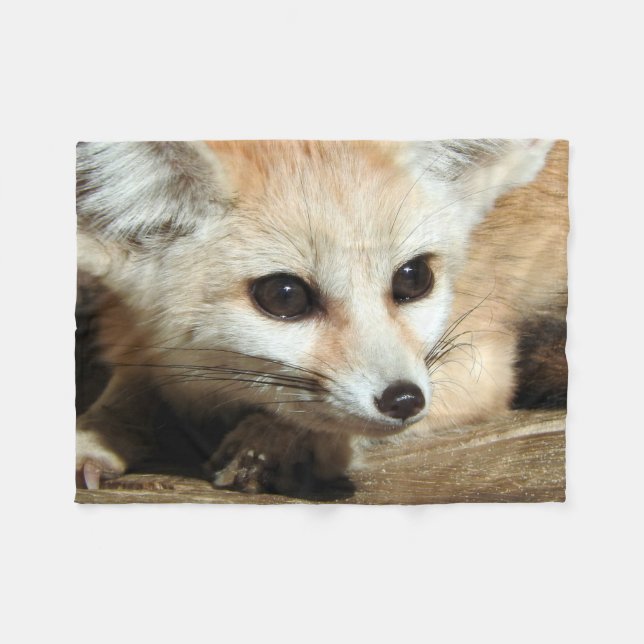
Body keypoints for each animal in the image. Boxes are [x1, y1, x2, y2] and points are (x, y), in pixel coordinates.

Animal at [76, 140, 568, 497]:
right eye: (284, 295)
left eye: (413, 277)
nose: (404, 400)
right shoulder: (143, 339)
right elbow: (128, 389)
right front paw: (95, 436)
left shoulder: (477, 359)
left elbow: (320, 421)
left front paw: (273, 439)